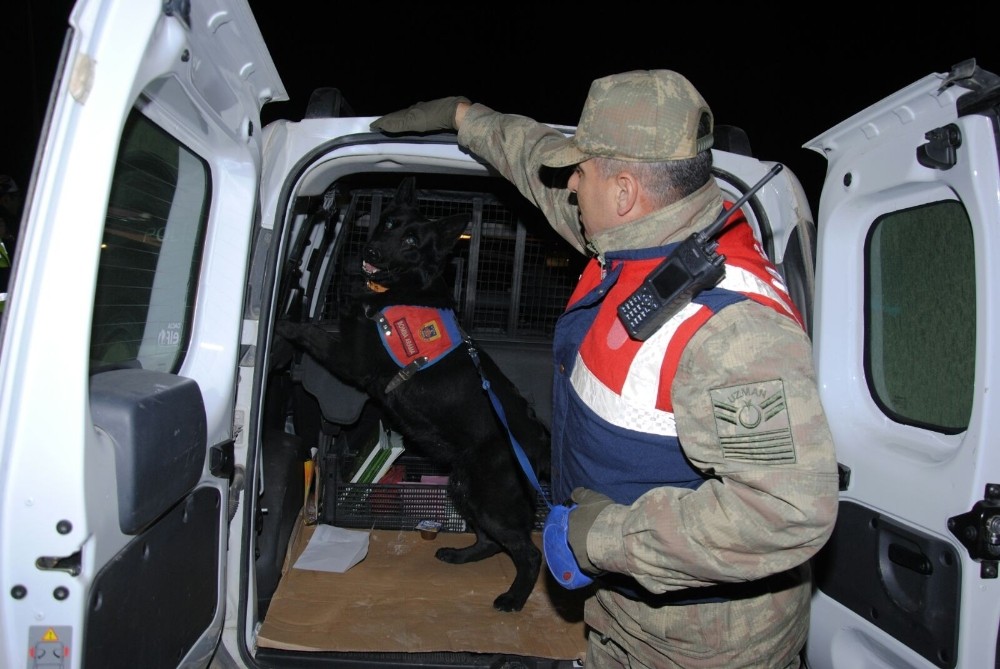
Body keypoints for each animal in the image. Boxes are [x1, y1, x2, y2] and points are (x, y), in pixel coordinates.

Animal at [278, 177, 552, 612]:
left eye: (411, 240)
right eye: (389, 223)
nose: (371, 252)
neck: (399, 288)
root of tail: (538, 443)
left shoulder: (352, 358)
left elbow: (312, 331)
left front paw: (285, 325)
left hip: (486, 493)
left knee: (527, 552)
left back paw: (513, 597)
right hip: (464, 487)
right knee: (492, 541)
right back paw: (460, 555)